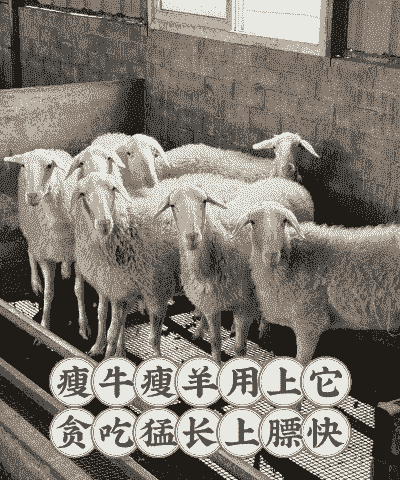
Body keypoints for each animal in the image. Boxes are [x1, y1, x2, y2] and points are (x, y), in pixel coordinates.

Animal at [3, 149, 91, 341]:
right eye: (23, 165)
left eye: (50, 166)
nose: (32, 196)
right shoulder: (45, 255)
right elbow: (49, 293)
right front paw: (43, 329)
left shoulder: (78, 255)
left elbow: (79, 290)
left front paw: (83, 326)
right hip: (29, 230)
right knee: (30, 251)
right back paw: (36, 282)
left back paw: (65, 269)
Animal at [154, 177, 314, 364]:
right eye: (173, 205)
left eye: (204, 201)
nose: (192, 237)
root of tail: (287, 181)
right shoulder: (212, 305)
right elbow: (215, 342)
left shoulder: (244, 306)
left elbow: (240, 349)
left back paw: (264, 330)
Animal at [231, 205, 400, 375]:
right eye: (252, 222)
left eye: (284, 221)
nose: (271, 255)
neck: (292, 260)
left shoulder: (309, 320)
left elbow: (301, 362)